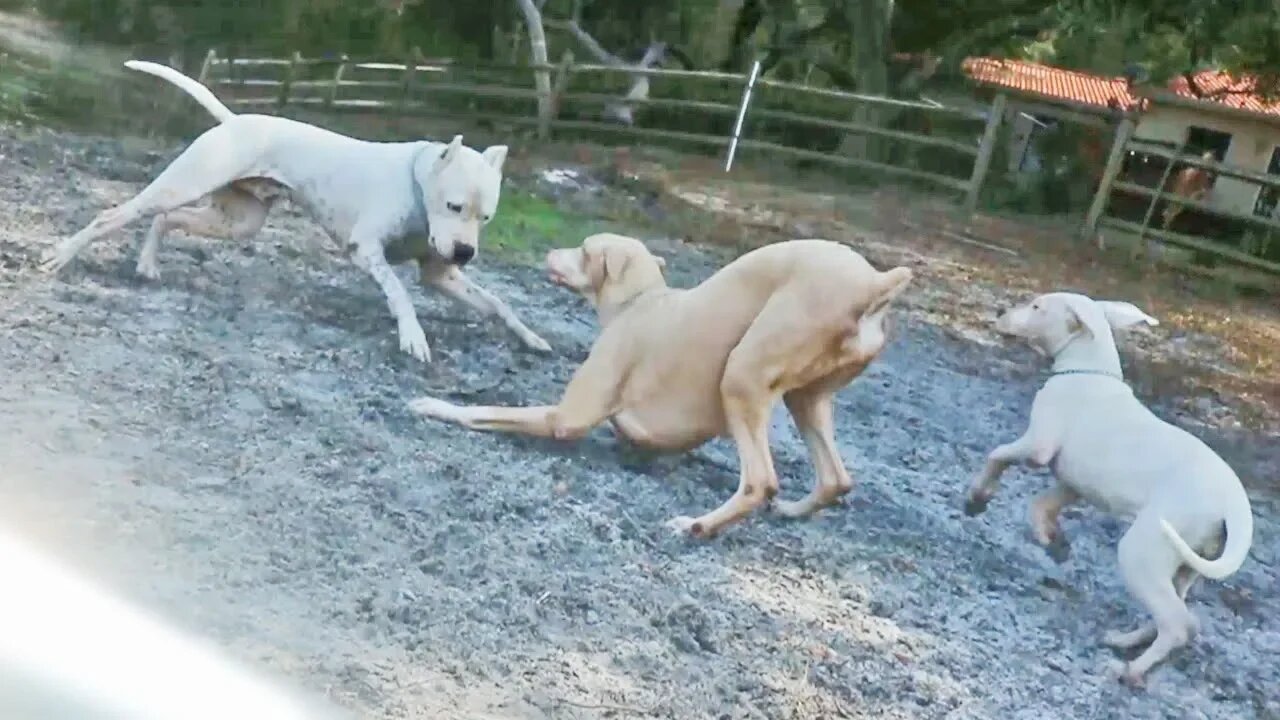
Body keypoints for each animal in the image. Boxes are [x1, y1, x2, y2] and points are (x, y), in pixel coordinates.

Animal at [38, 60, 550, 361]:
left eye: (486, 218)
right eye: (454, 205)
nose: (465, 253)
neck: (417, 186)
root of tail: (234, 122)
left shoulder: (440, 275)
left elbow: (497, 303)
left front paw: (532, 338)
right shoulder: (367, 251)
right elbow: (400, 293)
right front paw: (413, 337)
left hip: (237, 221)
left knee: (169, 219)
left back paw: (146, 264)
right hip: (180, 186)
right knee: (115, 216)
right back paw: (60, 256)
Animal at [407, 233, 911, 535]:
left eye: (584, 249)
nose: (549, 252)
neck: (640, 300)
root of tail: (874, 282)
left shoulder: (566, 417)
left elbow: (483, 411)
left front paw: (432, 405)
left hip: (743, 374)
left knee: (761, 481)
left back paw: (698, 527)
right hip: (807, 399)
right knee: (836, 479)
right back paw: (788, 511)